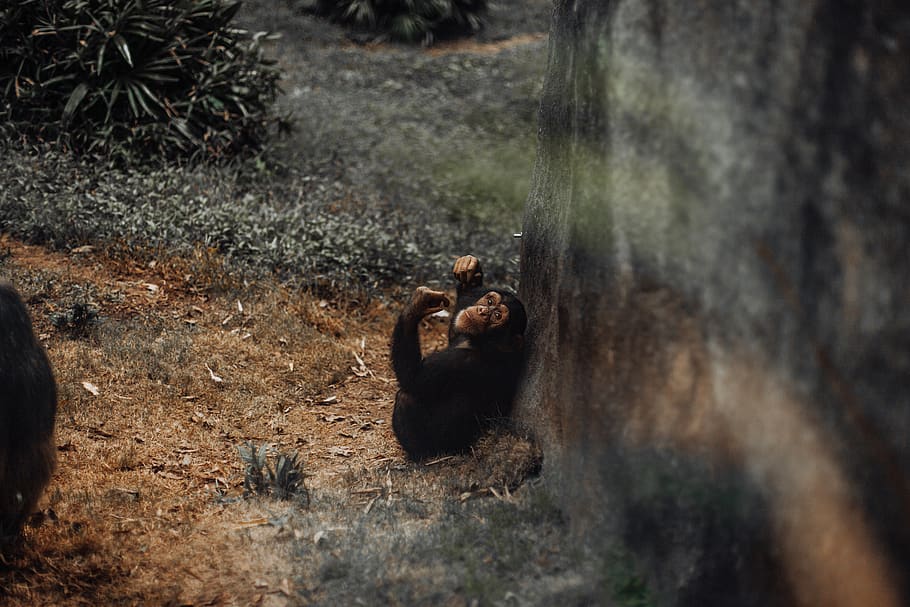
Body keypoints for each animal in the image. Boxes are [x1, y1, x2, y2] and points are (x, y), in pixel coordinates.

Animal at [391, 255, 527, 460]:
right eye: (489, 301)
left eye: (497, 315)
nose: (482, 311)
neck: (482, 342)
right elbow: (454, 332)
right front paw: (470, 273)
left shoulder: (461, 362)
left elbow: (412, 377)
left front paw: (418, 303)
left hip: (443, 446)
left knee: (406, 396)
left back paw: (418, 455)